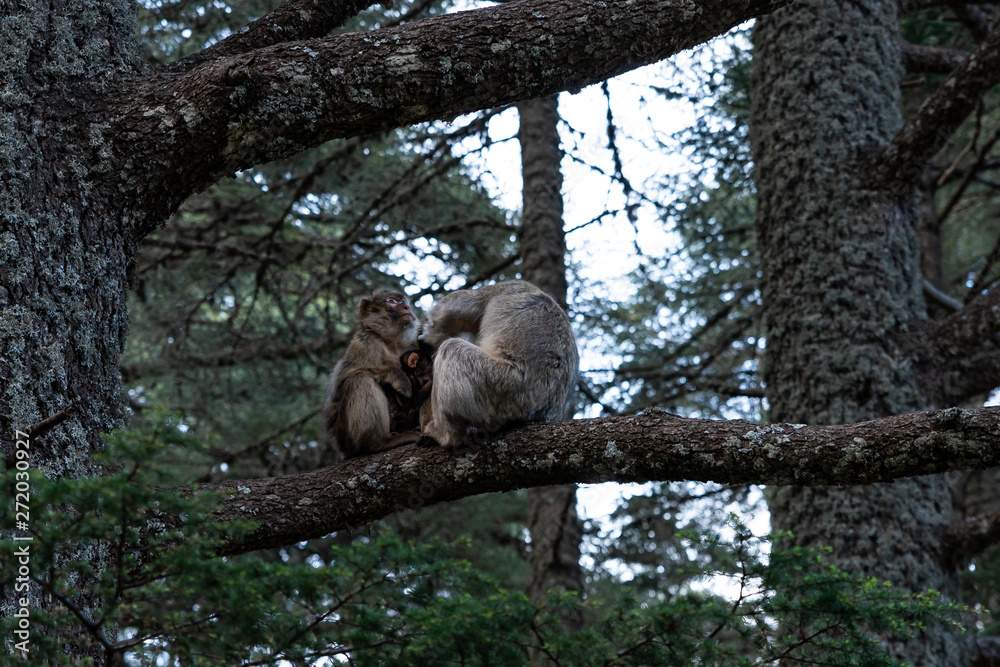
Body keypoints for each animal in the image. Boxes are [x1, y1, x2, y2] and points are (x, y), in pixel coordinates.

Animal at [324, 289, 421, 459]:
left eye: (403, 302)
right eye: (392, 301)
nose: (406, 307)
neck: (392, 343)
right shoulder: (366, 342)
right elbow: (343, 380)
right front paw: (398, 377)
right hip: (345, 437)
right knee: (359, 379)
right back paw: (379, 442)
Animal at [417, 280, 578, 448]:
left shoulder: (501, 289)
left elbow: (444, 317)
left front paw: (426, 335)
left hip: (501, 388)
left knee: (451, 349)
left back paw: (446, 434)